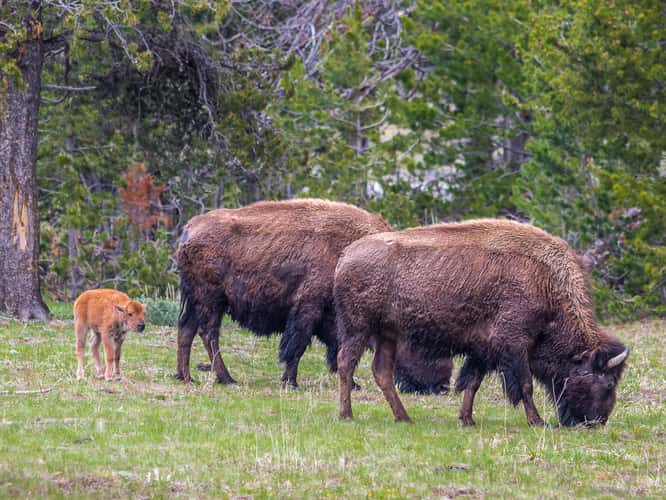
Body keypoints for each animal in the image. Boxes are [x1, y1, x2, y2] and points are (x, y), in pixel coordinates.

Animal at [335, 219, 629, 426]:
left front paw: (467, 419)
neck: (545, 281)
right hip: (358, 329)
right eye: (608, 383)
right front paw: (537, 421)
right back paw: (346, 414)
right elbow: (525, 384)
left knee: (382, 372)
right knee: (346, 363)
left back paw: (404, 417)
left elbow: (472, 382)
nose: (598, 421)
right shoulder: (514, 343)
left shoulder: (484, 348)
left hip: (387, 334)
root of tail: (346, 255)